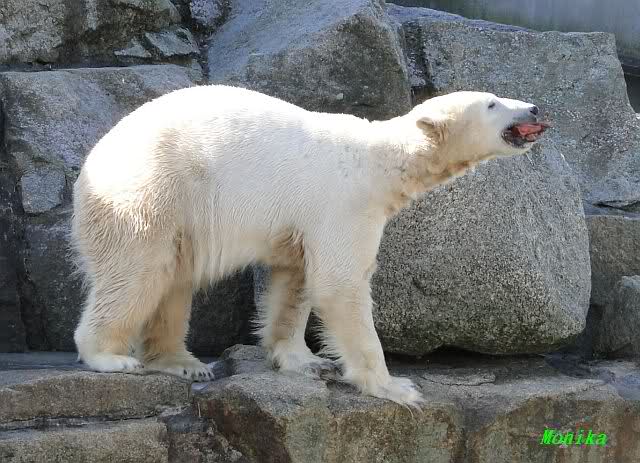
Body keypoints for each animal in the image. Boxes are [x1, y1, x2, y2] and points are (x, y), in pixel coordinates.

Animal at [71, 86, 549, 407]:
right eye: (492, 103)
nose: (535, 107)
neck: (379, 161)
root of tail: (92, 162)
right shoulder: (344, 203)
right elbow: (339, 283)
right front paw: (396, 387)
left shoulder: (306, 219)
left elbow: (296, 279)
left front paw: (301, 359)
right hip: (153, 192)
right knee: (140, 271)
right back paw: (109, 357)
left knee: (174, 279)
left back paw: (182, 361)